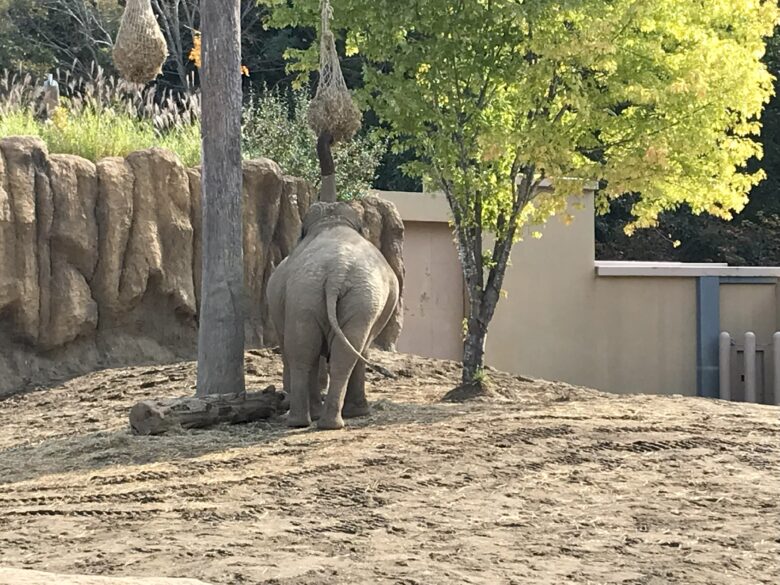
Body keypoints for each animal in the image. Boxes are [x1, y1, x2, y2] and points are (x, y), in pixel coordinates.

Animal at [270, 201, 402, 428]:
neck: (332, 221)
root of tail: (337, 271)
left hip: (310, 294)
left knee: (306, 351)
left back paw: (307, 421)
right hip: (351, 298)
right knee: (337, 352)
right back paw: (328, 421)